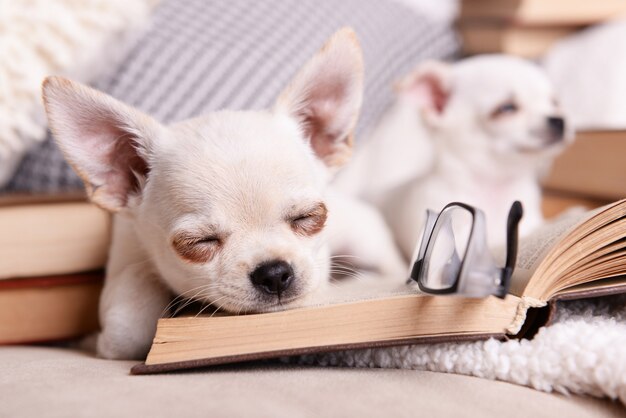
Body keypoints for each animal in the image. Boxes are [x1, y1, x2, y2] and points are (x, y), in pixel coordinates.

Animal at [42, 28, 404, 360]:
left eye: (309, 217)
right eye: (198, 243)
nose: (274, 273)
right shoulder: (125, 254)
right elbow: (126, 326)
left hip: (364, 237)